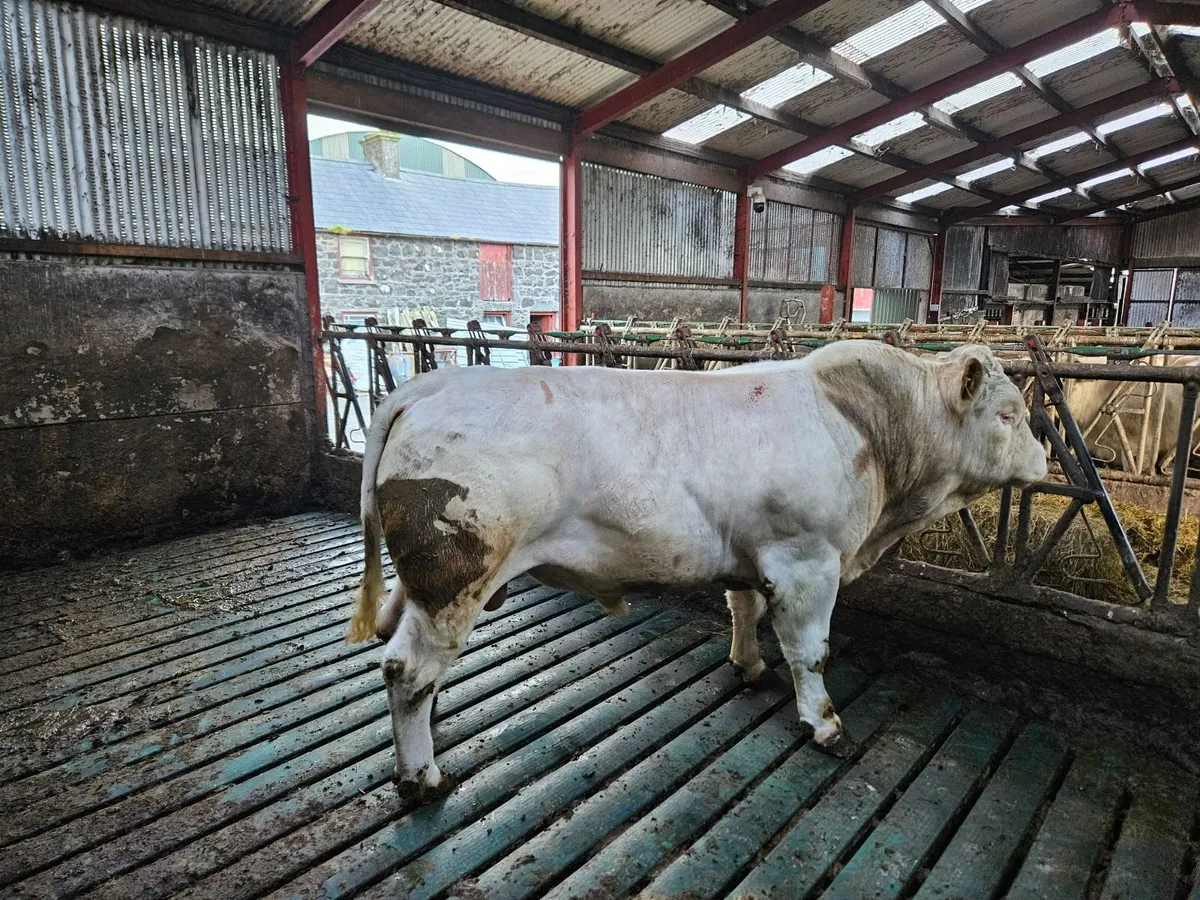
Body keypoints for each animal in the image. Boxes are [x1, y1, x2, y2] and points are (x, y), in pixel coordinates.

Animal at [347, 341, 1047, 803]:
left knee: (397, 647)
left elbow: (744, 609)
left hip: (421, 583)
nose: (1044, 459)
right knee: (407, 668)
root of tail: (427, 386)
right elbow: (811, 651)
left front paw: (749, 666)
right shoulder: (807, 559)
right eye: (1009, 414)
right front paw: (824, 723)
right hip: (454, 574)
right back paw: (421, 776)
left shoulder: (752, 554)